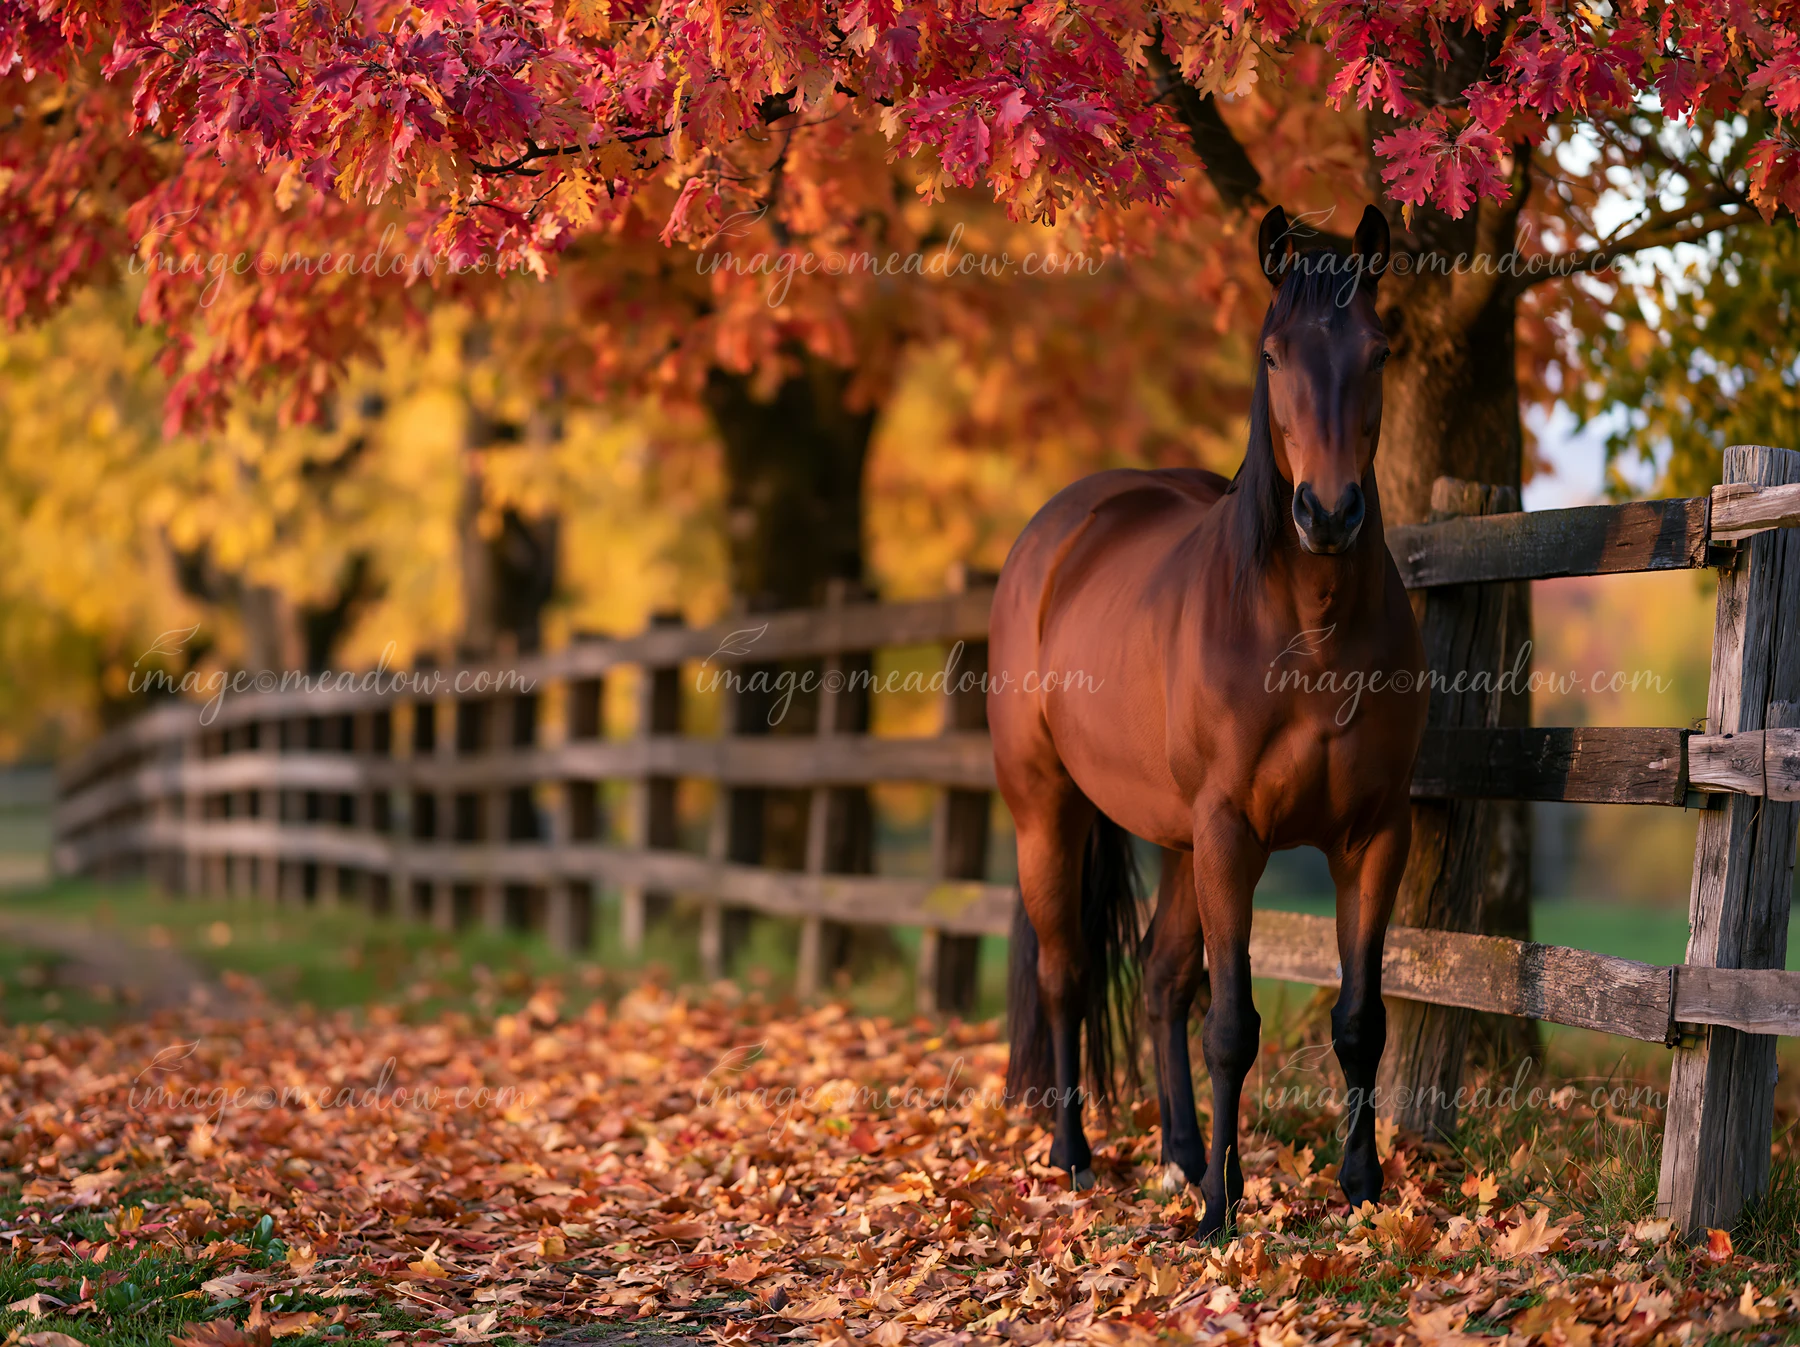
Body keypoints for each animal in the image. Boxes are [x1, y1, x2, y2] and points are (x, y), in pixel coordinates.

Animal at [991, 204, 1427, 1239]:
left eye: (1379, 350)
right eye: (1273, 353)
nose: (1328, 513)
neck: (1309, 630)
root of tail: (1058, 529)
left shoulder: (1373, 836)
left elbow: (1361, 1018)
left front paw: (1361, 1189)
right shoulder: (1234, 833)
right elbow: (1231, 1025)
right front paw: (1225, 1211)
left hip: (1179, 839)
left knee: (1157, 978)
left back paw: (1181, 1157)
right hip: (1050, 811)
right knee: (1068, 973)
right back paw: (1075, 1156)